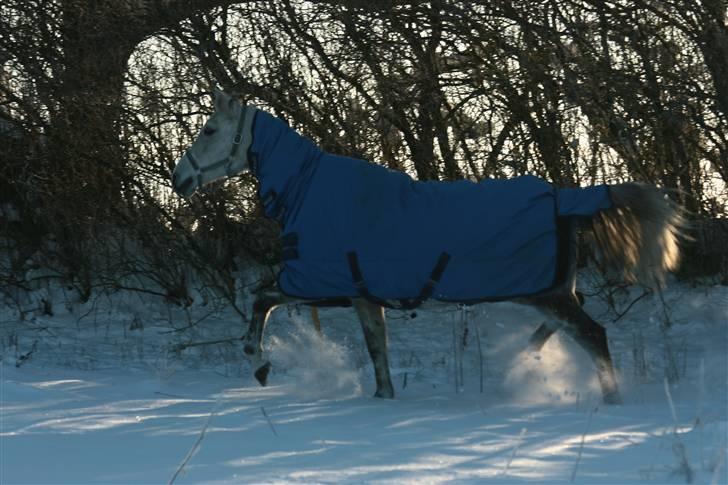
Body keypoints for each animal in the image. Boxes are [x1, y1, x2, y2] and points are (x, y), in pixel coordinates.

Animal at [173, 90, 684, 400]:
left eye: (210, 131)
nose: (179, 180)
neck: (308, 190)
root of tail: (566, 200)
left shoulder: (317, 283)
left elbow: (262, 300)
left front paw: (259, 364)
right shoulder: (356, 295)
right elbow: (378, 356)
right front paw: (382, 399)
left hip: (546, 293)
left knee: (594, 336)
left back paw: (608, 399)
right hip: (549, 293)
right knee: (565, 329)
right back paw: (521, 362)